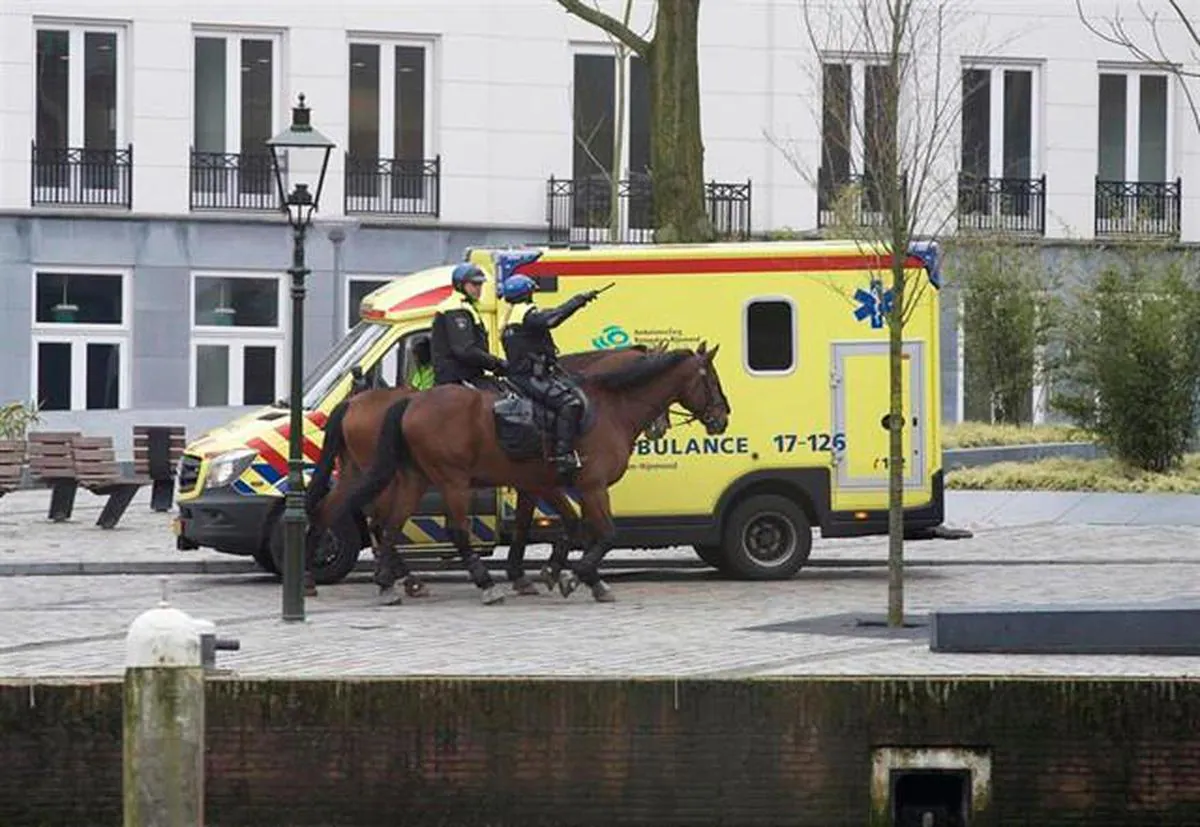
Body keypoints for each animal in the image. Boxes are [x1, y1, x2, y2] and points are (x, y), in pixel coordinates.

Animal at [333, 338, 734, 602]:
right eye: (711, 378)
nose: (721, 418)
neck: (608, 405)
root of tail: (410, 402)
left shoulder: (545, 483)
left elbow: (568, 526)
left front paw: (558, 573)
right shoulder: (591, 485)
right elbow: (604, 534)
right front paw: (575, 577)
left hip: (417, 478)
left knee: (390, 525)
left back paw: (390, 582)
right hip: (451, 480)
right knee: (451, 529)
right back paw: (481, 583)